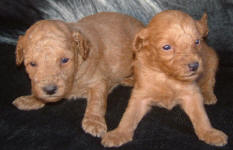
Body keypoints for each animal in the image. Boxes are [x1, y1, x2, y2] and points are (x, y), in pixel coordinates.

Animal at [13, 12, 144, 138]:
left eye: (65, 60)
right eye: (32, 64)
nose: (50, 90)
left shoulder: (98, 81)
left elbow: (96, 101)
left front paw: (94, 122)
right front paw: (31, 100)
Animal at [101, 9, 228, 147]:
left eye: (196, 42)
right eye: (166, 47)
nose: (194, 66)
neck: (167, 77)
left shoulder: (192, 94)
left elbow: (201, 115)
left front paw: (209, 132)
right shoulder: (140, 96)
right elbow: (129, 116)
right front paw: (119, 133)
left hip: (212, 61)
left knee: (210, 80)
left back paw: (208, 95)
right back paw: (130, 80)